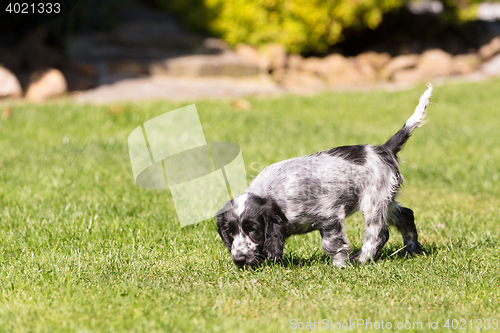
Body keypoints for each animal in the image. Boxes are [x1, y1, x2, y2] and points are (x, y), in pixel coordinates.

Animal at [217, 83, 432, 268]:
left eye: (253, 229)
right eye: (229, 232)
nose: (239, 260)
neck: (275, 195)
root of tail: (383, 149)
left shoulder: (329, 215)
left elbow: (332, 245)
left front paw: (340, 266)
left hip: (373, 202)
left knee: (379, 233)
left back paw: (362, 259)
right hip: (386, 200)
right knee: (406, 215)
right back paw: (411, 250)